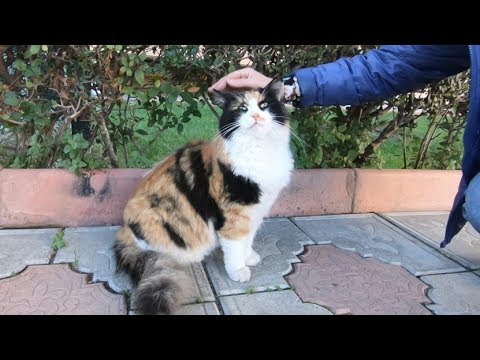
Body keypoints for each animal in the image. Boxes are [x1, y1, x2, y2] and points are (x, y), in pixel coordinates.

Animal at [114, 78, 294, 312]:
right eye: (242, 109)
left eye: (263, 105)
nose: (255, 116)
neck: (259, 151)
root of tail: (126, 232)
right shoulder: (234, 212)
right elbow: (235, 244)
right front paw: (238, 270)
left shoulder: (255, 211)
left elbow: (248, 238)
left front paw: (249, 257)